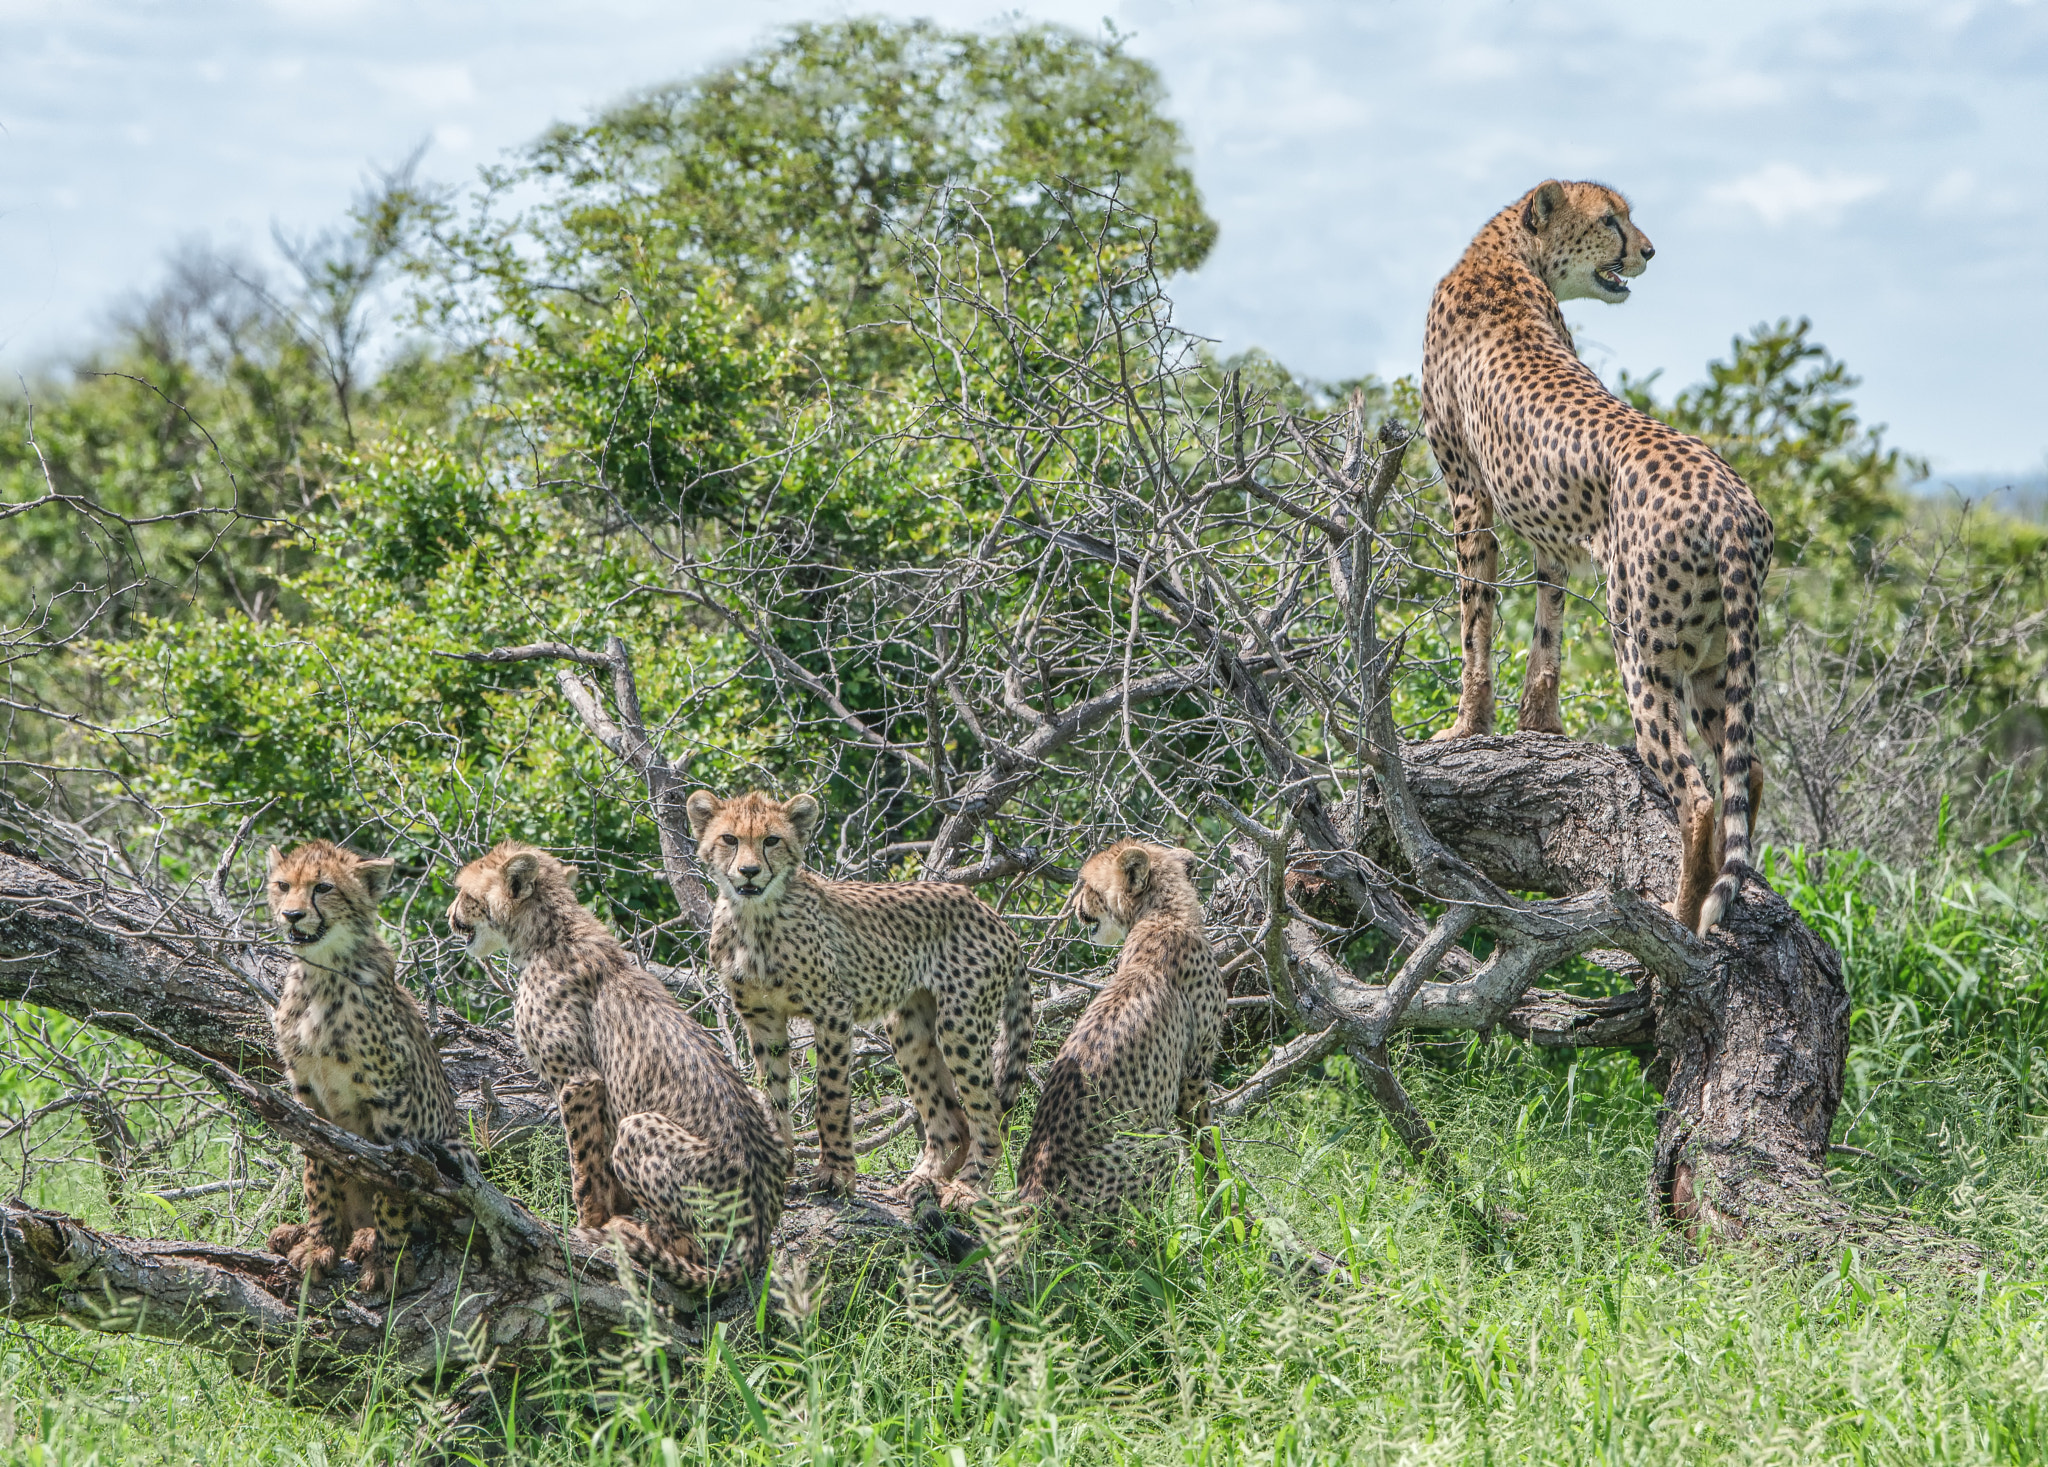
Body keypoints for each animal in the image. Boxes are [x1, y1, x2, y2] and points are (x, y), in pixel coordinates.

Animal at [262, 844, 468, 1286]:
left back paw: (368, 1239)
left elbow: (394, 1183)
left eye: (323, 888)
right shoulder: (304, 1094)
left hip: (454, 1151)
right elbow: (317, 1172)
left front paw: (390, 1261)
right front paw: (319, 1243)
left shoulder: (390, 1094)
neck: (322, 973)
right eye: (283, 885)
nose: (292, 915)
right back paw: (307, 1233)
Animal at [448, 844, 782, 1286]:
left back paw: (631, 1232)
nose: (450, 916)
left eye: (464, 893)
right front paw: (612, 1210)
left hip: (640, 1127)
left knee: (688, 1246)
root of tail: (758, 1237)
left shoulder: (579, 1079)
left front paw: (589, 1222)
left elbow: (584, 1163)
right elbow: (602, 1162)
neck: (548, 932)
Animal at [688, 794, 1032, 1212]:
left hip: (960, 1023)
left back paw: (967, 1188)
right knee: (950, 1121)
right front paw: (778, 1165)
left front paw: (836, 1174)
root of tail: (994, 915)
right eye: (729, 839)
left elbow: (831, 1095)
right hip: (909, 1027)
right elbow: (774, 1095)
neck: (755, 917)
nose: (749, 872)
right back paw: (921, 1182)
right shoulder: (762, 1017)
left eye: (771, 840)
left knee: (991, 1113)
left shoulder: (832, 1009)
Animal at [1015, 844, 1220, 1221]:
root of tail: (1034, 1195)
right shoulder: (1193, 1073)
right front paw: (1222, 1208)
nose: (1075, 908)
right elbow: (1204, 1145)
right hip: (1156, 1142)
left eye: (1088, 886)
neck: (1164, 914)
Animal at [1425, 180, 1777, 930]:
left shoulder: (1469, 499)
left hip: (1642, 647)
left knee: (1696, 793)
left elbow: (1476, 627)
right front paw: (1541, 727)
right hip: (1718, 655)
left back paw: (1680, 912)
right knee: (1747, 768)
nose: (1648, 250)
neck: (1506, 252)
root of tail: (1730, 505)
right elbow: (1546, 630)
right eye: (1611, 219)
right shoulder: (1551, 535)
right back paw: (1730, 889)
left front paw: (1467, 727)